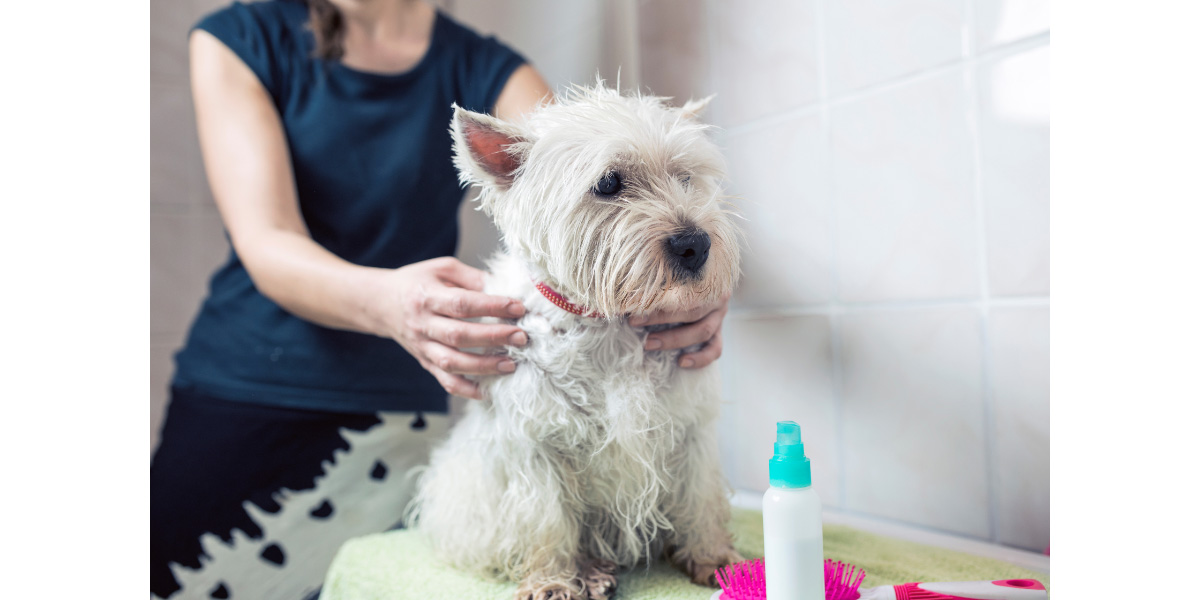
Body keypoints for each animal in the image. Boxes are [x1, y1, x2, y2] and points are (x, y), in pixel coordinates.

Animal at [410, 83, 739, 600]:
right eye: (608, 183)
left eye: (685, 177)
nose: (696, 245)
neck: (606, 324)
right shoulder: (538, 446)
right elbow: (548, 522)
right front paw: (554, 580)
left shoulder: (689, 428)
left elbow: (699, 497)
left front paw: (713, 559)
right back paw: (592, 571)